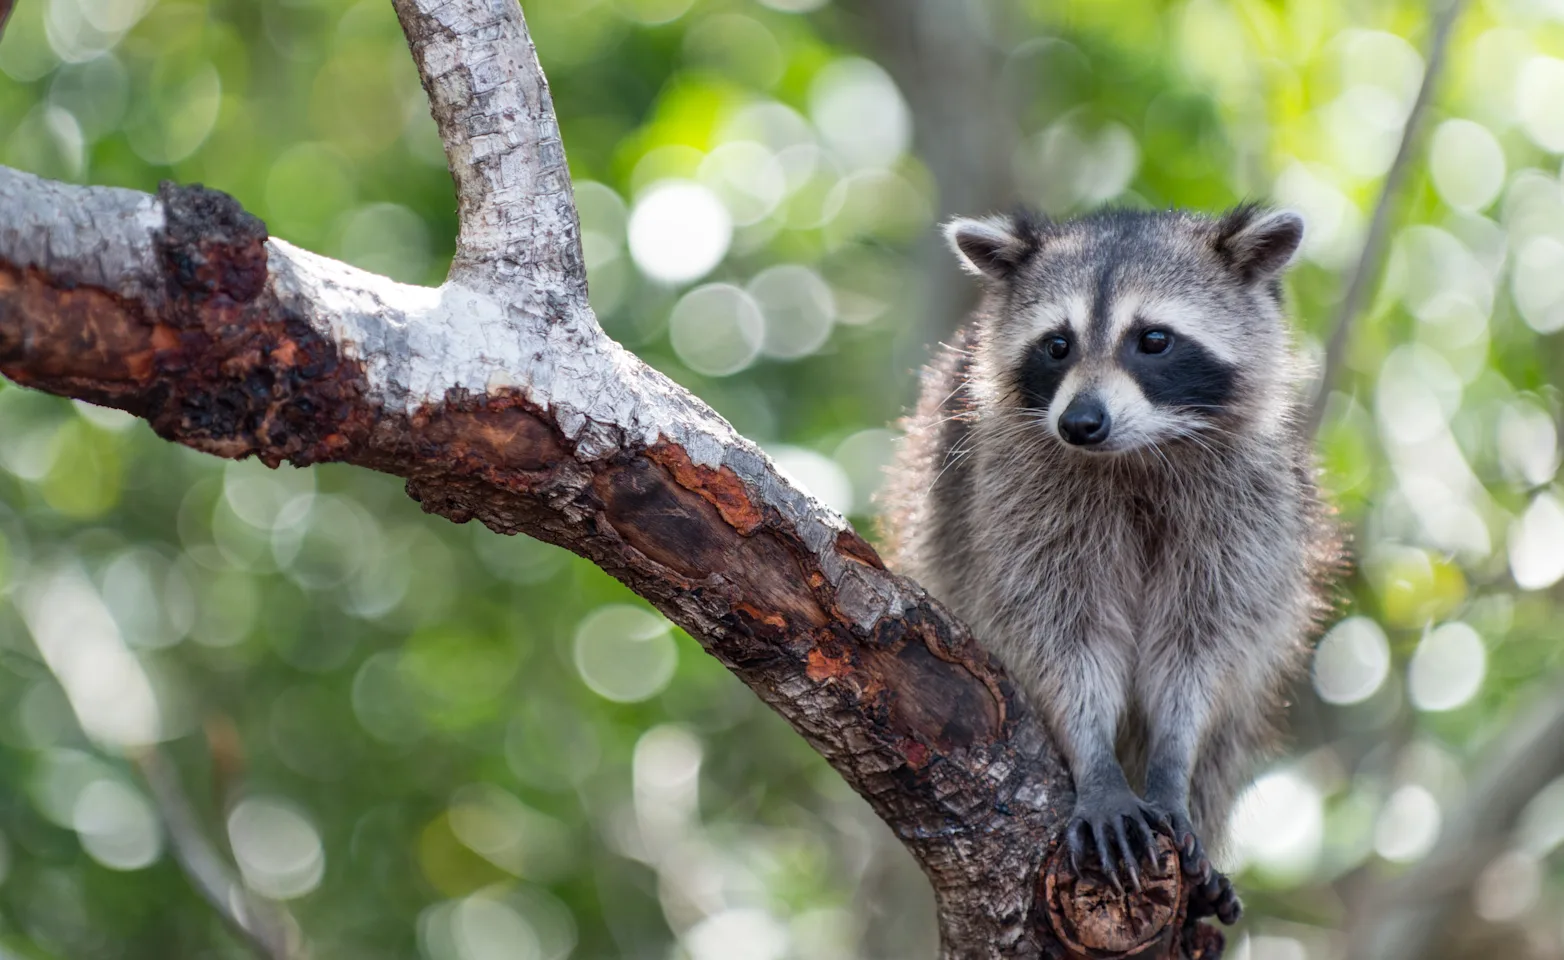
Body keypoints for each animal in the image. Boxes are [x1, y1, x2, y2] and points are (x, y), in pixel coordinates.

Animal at [881, 205, 1340, 922]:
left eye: (1153, 340)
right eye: (1057, 345)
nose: (1080, 423)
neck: (1134, 453)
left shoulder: (1247, 510)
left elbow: (1198, 649)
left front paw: (1171, 769)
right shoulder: (1014, 498)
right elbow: (1059, 635)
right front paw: (1097, 767)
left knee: (1226, 738)